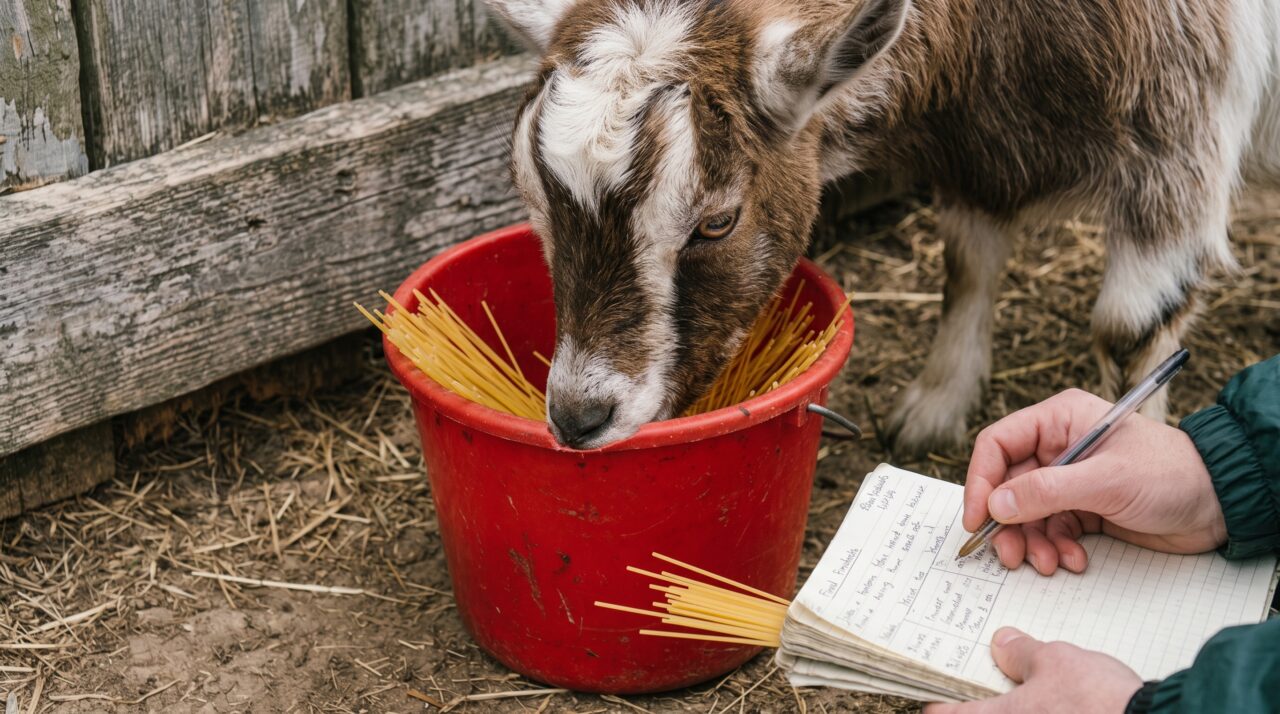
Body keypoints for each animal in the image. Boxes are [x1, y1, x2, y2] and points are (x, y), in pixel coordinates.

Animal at [484, 0, 1280, 450]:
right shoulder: (978, 141)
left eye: (717, 222)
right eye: (535, 204)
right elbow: (967, 265)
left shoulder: (1178, 133)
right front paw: (937, 406)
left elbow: (1129, 329)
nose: (578, 418)